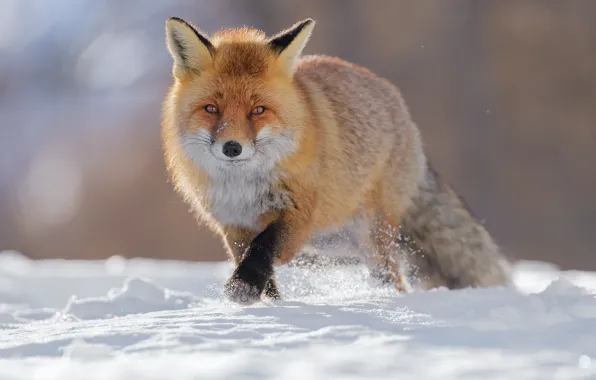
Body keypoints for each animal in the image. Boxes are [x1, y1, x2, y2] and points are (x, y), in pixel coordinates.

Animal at [161, 17, 510, 304]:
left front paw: (243, 288)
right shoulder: (232, 226)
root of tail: (402, 110)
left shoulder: (297, 213)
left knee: (395, 279)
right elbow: (256, 261)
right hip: (330, 247)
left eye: (258, 110)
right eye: (211, 109)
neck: (243, 187)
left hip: (371, 237)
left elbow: (263, 248)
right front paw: (267, 302)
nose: (232, 148)